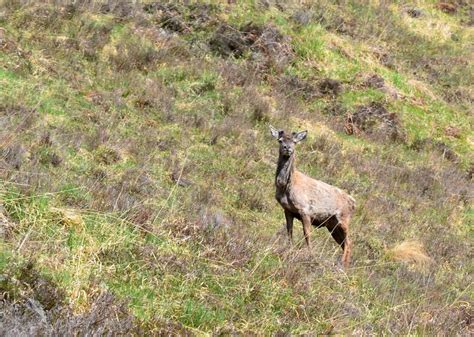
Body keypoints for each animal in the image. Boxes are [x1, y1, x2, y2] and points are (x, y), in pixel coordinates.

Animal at [270, 124, 356, 266]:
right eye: (280, 140)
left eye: (295, 142)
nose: (287, 148)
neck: (286, 187)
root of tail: (354, 203)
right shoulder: (287, 210)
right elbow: (289, 231)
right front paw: (290, 249)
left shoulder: (305, 210)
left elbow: (307, 234)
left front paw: (310, 255)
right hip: (332, 225)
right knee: (344, 243)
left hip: (343, 219)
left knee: (349, 242)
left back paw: (342, 265)